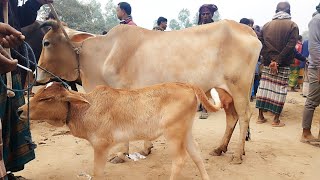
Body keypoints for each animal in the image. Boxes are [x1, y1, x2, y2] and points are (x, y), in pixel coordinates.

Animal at [18, 82, 221, 179]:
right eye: (37, 94)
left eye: (46, 99)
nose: (20, 110)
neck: (85, 108)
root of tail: (186, 84)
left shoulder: (101, 146)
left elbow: (97, 173)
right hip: (185, 131)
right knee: (196, 154)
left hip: (173, 133)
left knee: (179, 160)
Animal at [36, 19, 262, 165]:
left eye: (46, 42)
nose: (37, 74)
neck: (105, 53)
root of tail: (246, 29)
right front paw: (146, 148)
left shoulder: (123, 91)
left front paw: (122, 154)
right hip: (224, 90)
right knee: (232, 116)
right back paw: (221, 148)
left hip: (239, 87)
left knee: (244, 116)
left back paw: (237, 155)